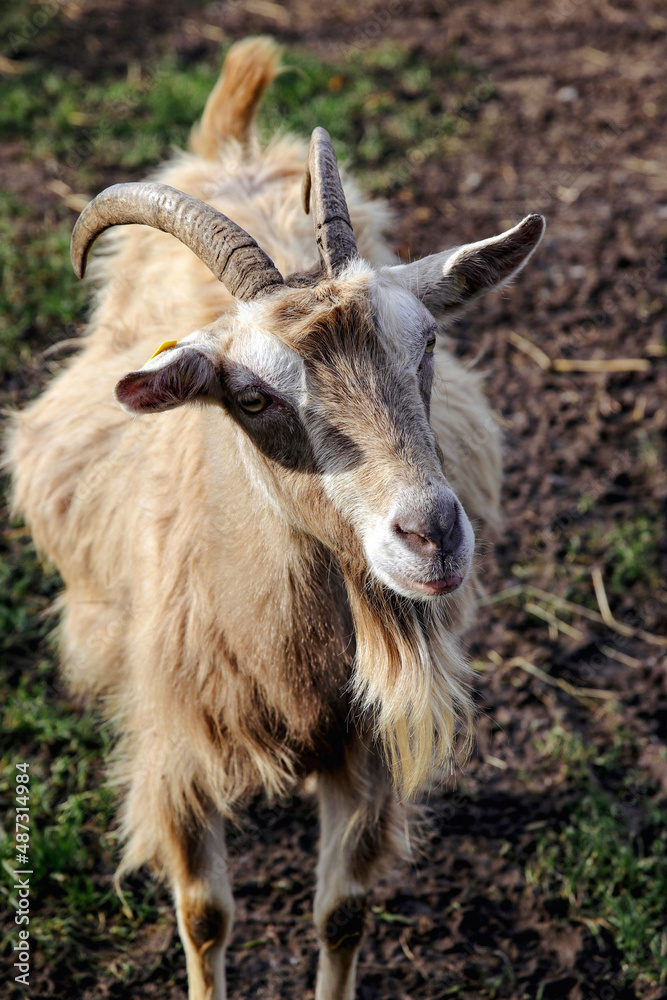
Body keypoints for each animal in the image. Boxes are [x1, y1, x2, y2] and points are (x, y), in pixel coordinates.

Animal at [7, 37, 544, 1000]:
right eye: (251, 397)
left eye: (426, 345)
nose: (431, 535)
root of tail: (235, 142)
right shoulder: (175, 747)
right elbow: (204, 915)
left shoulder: (366, 753)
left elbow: (342, 912)